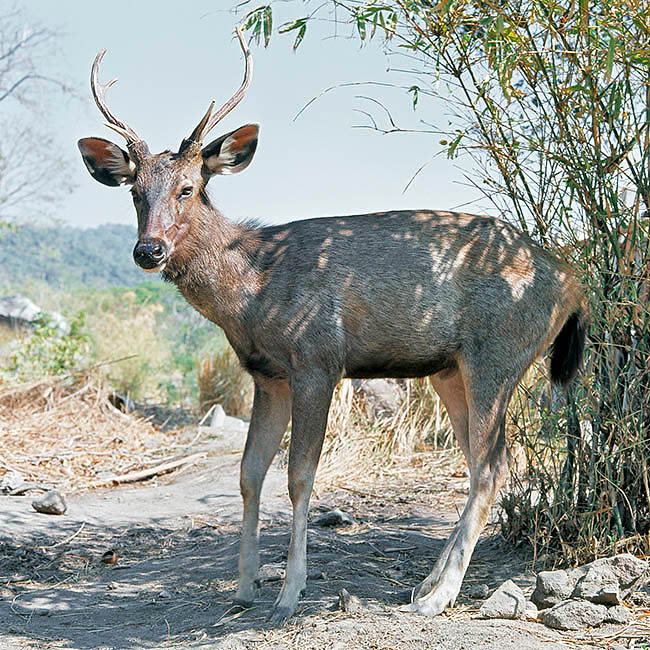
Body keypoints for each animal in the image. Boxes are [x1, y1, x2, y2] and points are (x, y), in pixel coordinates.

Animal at [77, 26, 584, 624]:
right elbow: (249, 473)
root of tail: (574, 283)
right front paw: (243, 588)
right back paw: (425, 585)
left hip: (497, 355)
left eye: (188, 188)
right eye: (135, 192)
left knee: (492, 465)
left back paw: (438, 598)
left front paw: (289, 594)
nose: (148, 250)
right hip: (451, 369)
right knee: (483, 460)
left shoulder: (317, 361)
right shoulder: (266, 374)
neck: (253, 288)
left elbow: (300, 475)